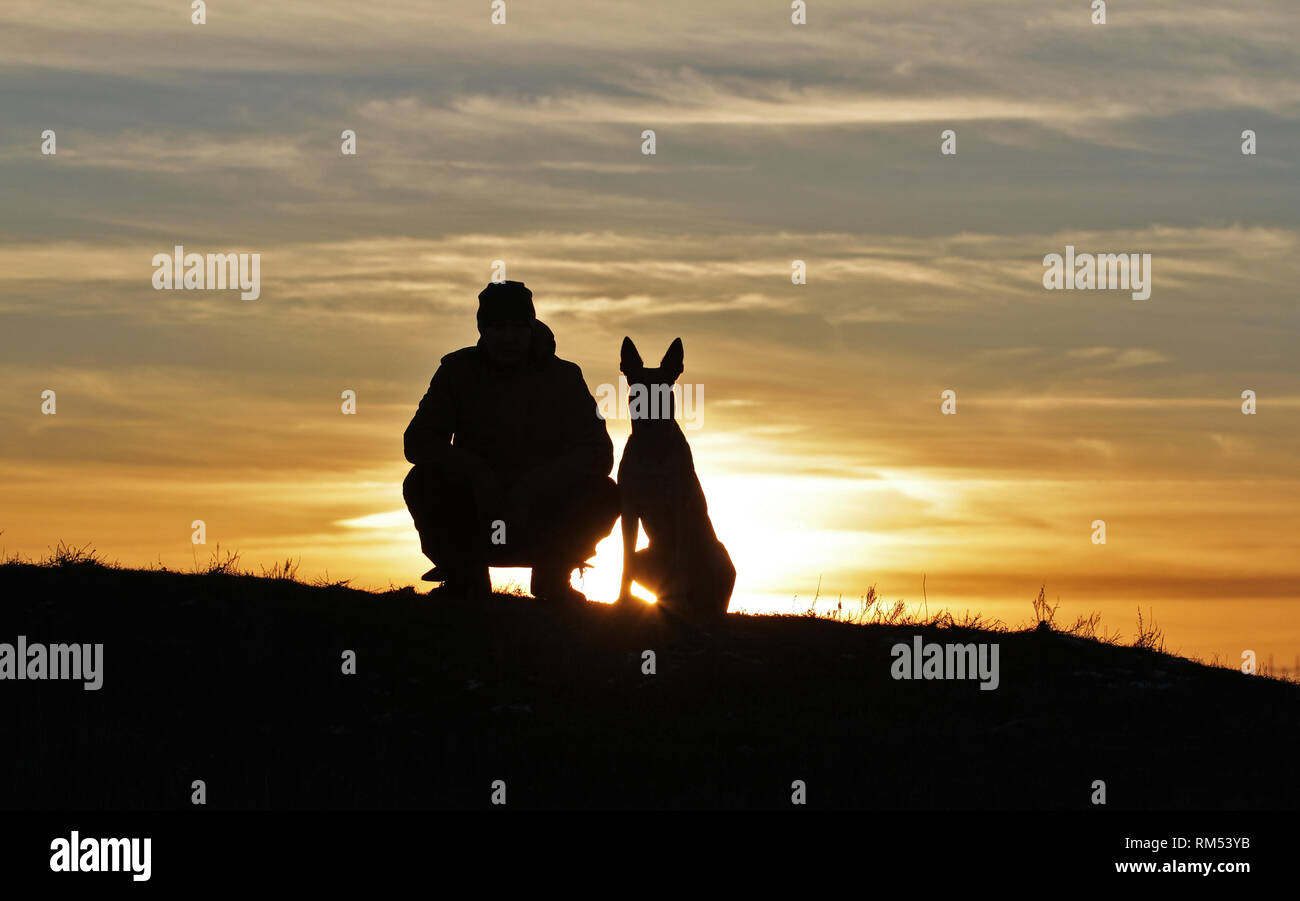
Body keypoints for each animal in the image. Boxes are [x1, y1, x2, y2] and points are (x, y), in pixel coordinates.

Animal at [616, 338, 738, 618]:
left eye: (663, 385)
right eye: (636, 383)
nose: (647, 409)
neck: (653, 446)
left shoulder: (679, 509)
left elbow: (680, 562)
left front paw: (678, 604)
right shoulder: (629, 509)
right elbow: (627, 558)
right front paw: (621, 601)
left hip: (721, 556)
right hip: (647, 556)